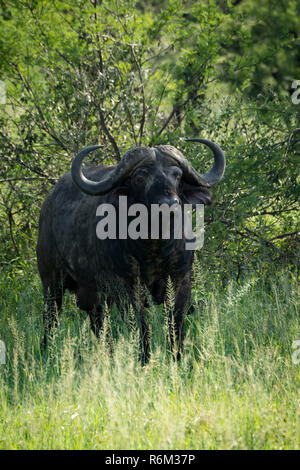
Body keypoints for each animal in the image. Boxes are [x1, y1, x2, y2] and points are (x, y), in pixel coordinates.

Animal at [37, 138, 225, 362]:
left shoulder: (181, 281)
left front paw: (176, 359)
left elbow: (175, 326)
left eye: (177, 175)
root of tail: (48, 205)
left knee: (99, 324)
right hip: (52, 281)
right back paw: (46, 354)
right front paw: (144, 361)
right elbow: (141, 328)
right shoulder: (126, 288)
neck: (155, 245)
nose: (169, 204)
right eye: (140, 177)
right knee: (51, 319)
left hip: (96, 294)